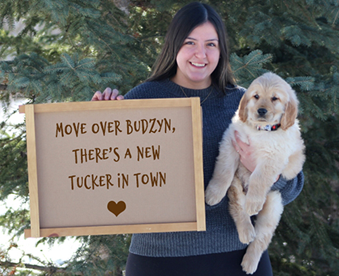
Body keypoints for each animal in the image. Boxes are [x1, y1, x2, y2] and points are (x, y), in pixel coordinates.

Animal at [206, 71, 306, 274]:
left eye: (275, 98)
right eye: (256, 96)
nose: (261, 111)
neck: (261, 131)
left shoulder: (273, 158)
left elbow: (259, 179)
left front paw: (254, 201)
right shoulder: (230, 141)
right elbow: (223, 170)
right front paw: (213, 193)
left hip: (274, 205)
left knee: (261, 238)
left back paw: (250, 261)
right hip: (237, 183)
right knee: (237, 206)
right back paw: (245, 230)